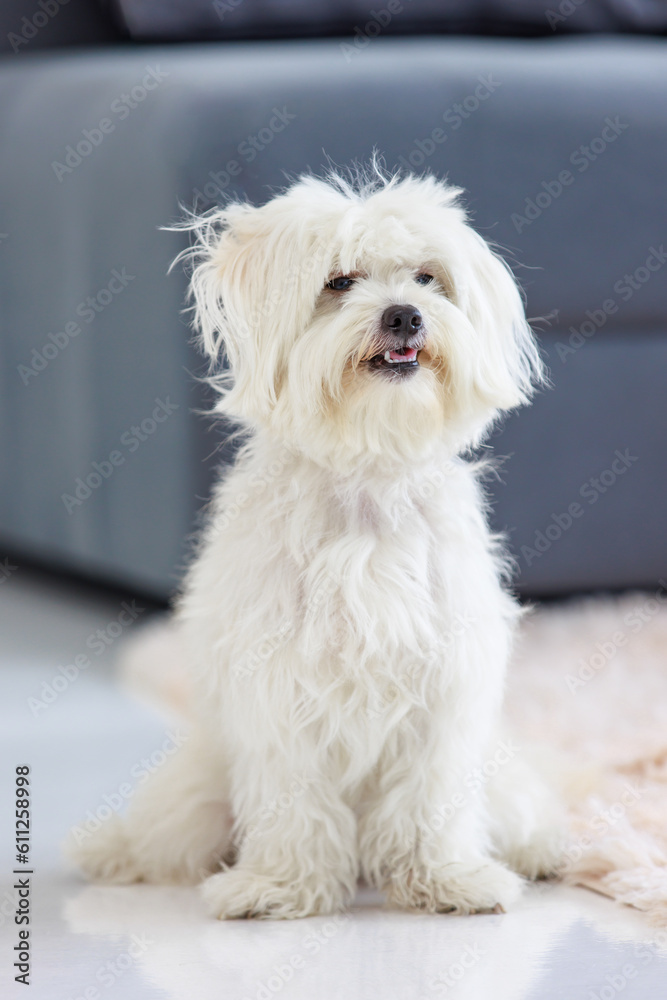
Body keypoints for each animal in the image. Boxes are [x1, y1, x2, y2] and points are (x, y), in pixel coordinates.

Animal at [70, 168, 564, 916]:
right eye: (339, 281)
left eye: (427, 278)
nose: (404, 316)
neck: (368, 471)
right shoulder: (280, 686)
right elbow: (292, 798)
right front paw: (283, 887)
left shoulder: (443, 684)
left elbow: (431, 796)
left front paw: (444, 878)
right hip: (195, 795)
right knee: (168, 837)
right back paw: (118, 851)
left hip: (503, 782)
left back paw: (546, 853)